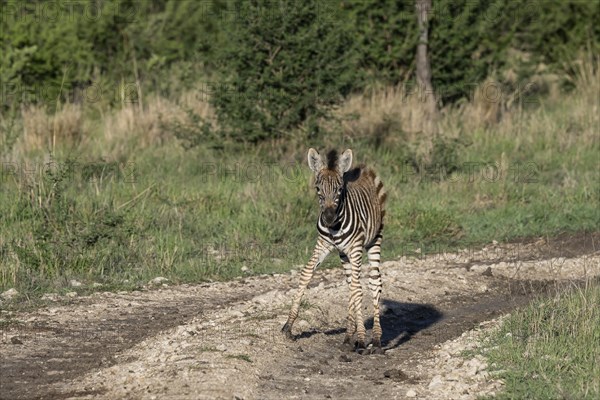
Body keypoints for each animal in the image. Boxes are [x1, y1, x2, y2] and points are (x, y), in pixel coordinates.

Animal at [282, 148, 386, 354]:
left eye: (339, 189)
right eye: (318, 189)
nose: (329, 218)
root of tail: (363, 171)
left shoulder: (355, 248)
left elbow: (358, 289)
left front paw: (361, 339)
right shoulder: (323, 244)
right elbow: (306, 274)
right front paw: (289, 326)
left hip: (374, 240)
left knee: (374, 282)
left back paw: (376, 339)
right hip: (343, 254)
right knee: (351, 285)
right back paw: (348, 336)